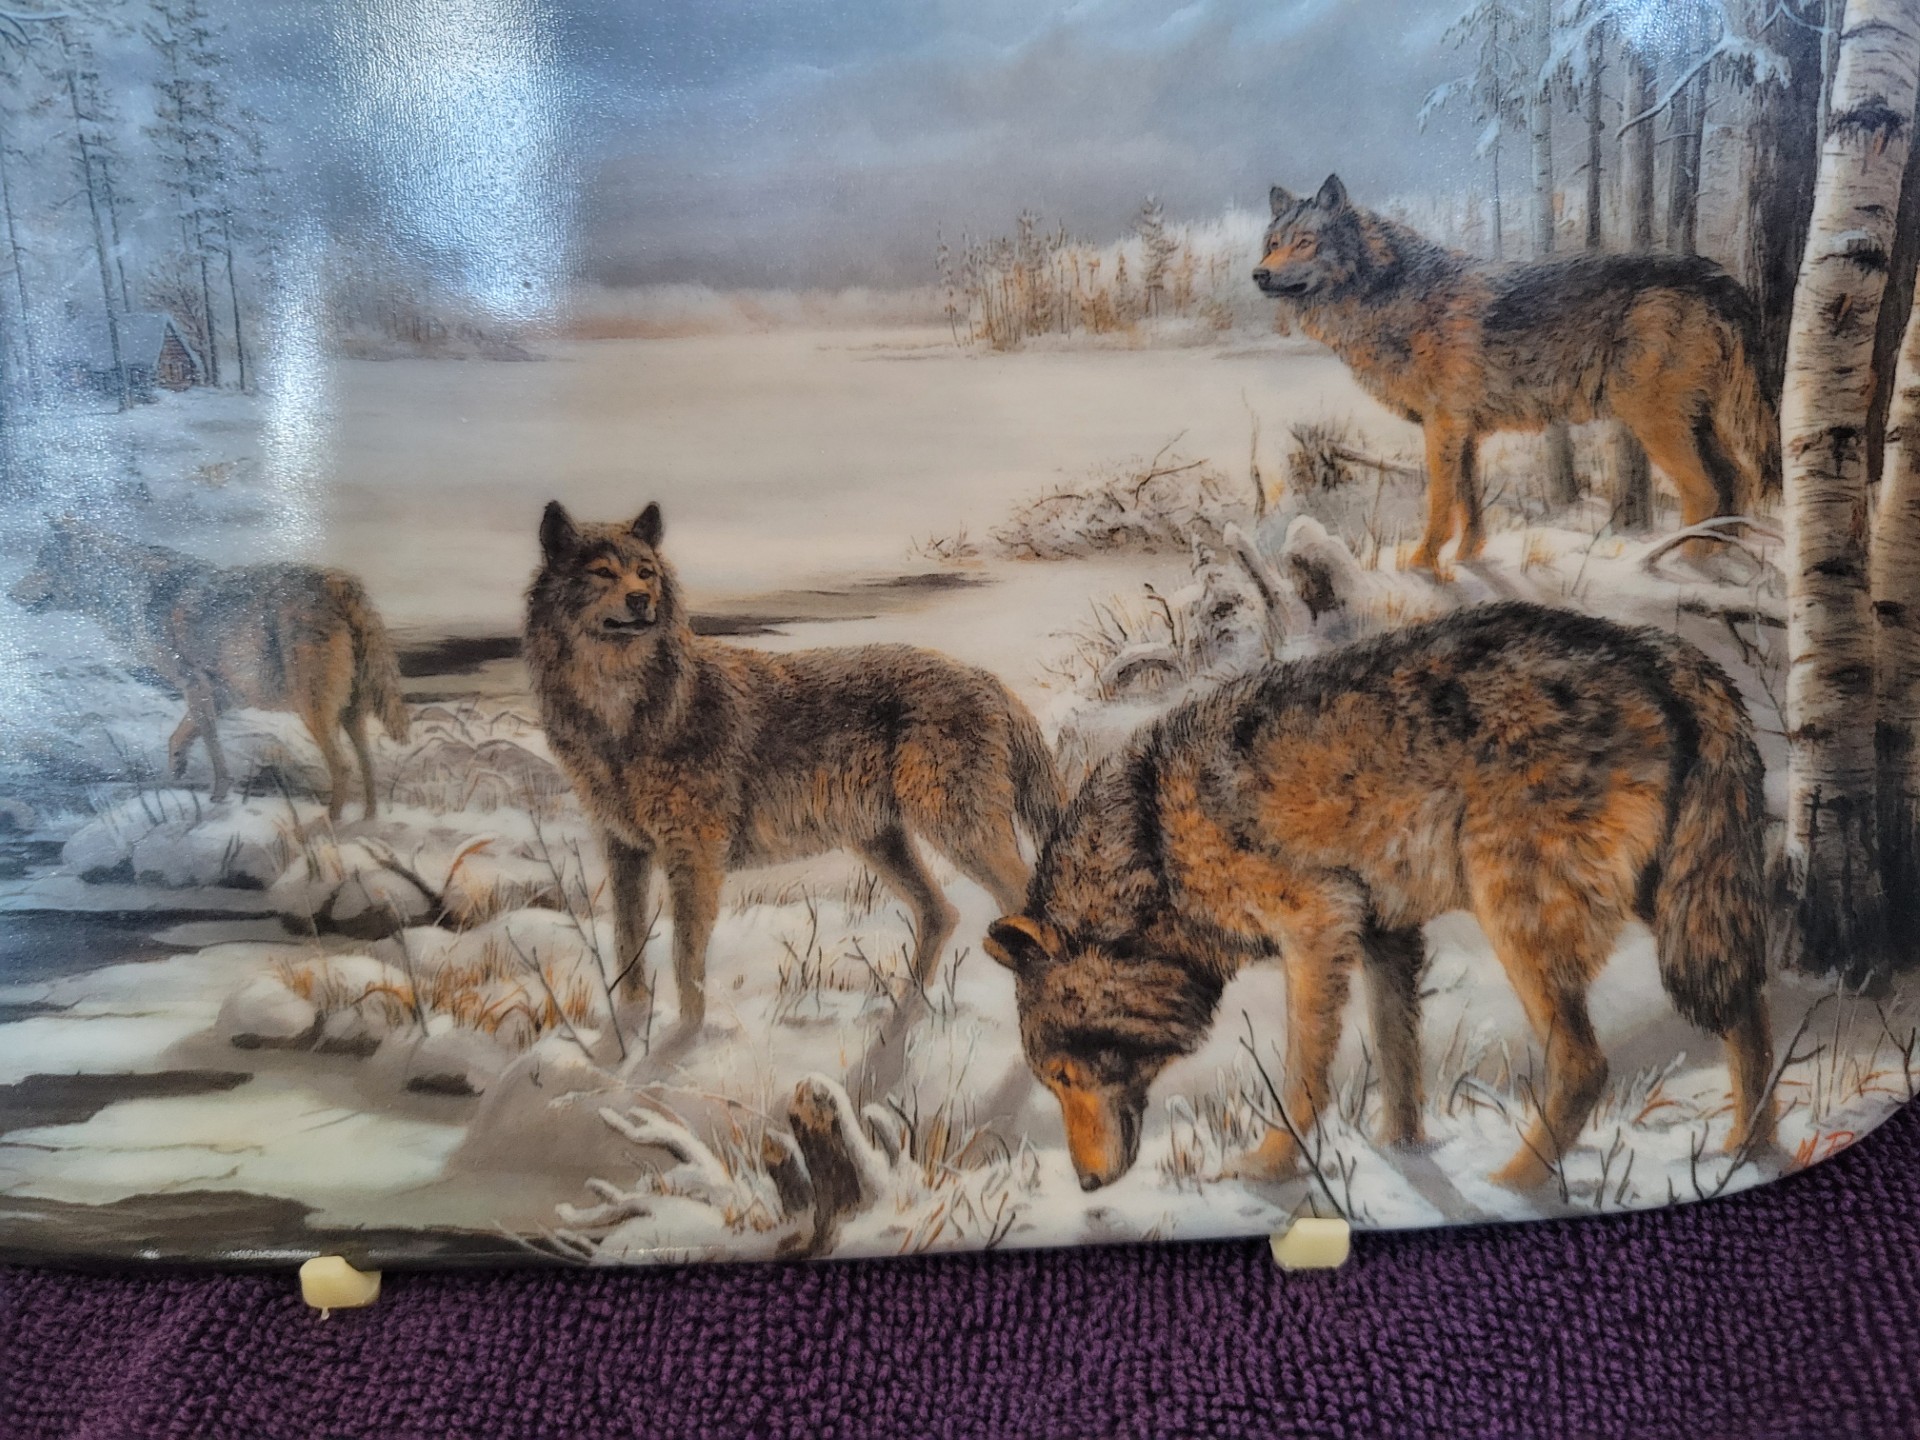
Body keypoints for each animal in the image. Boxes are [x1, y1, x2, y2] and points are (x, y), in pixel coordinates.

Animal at [10, 518, 411, 819]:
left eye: (41, 563)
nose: (10, 594)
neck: (133, 594)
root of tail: (341, 581)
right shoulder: (218, 695)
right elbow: (180, 736)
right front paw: (177, 769)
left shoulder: (196, 686)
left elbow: (210, 743)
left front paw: (218, 794)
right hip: (349, 711)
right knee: (367, 765)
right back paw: (370, 819)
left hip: (313, 709)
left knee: (342, 766)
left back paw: (332, 822)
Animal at [524, 501, 1066, 1032]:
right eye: (602, 572)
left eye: (645, 573)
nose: (640, 600)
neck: (624, 714)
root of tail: (986, 677)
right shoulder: (625, 851)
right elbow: (628, 947)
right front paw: (633, 1027)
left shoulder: (694, 858)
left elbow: (684, 960)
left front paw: (684, 1040)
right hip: (883, 840)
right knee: (941, 913)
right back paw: (905, 1011)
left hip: (957, 830)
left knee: (1022, 904)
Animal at [985, 602, 1775, 1192]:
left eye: (1064, 1075)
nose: (1086, 1185)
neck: (1155, 842)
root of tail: (1653, 649)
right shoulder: (1386, 937)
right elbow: (1401, 1067)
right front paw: (1403, 1155)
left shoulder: (1317, 926)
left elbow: (1304, 1078)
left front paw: (1268, 1169)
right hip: (1675, 903)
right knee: (1745, 1008)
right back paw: (1749, 1152)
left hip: (1519, 918)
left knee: (1586, 1066)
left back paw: (1514, 1186)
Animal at [1254, 175, 1778, 571]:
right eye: (1273, 244)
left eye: (1306, 243)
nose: (1259, 274)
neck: (1392, 296)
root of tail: (1718, 276)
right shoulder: (1462, 432)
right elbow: (1470, 505)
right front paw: (1467, 560)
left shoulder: (1442, 427)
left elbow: (1440, 505)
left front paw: (1422, 565)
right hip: (1695, 423)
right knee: (1737, 481)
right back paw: (1722, 560)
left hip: (1656, 424)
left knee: (1706, 492)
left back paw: (1680, 566)